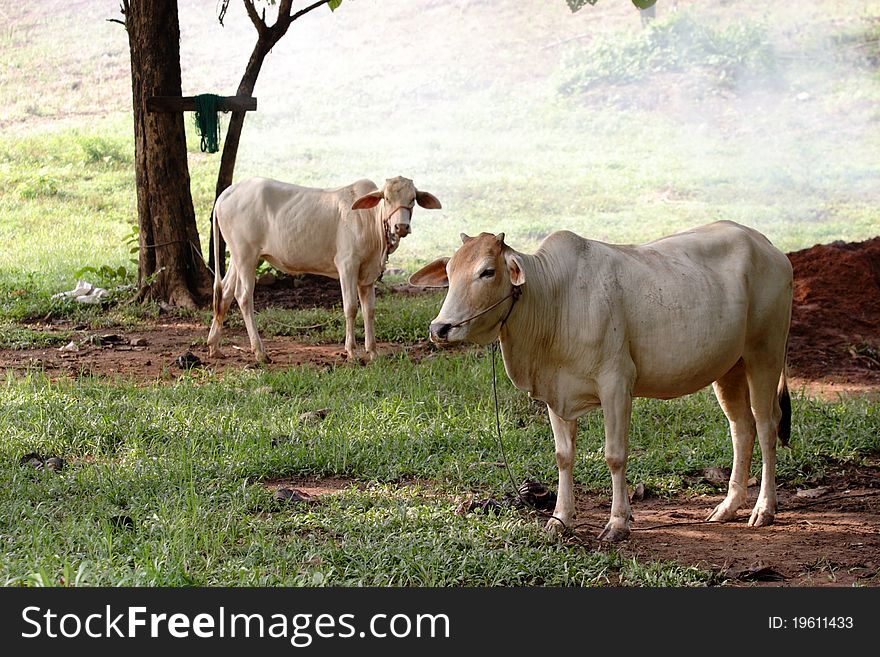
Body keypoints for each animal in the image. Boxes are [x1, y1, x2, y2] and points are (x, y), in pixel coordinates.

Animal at [410, 223, 796, 540]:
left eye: (487, 272)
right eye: (449, 272)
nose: (440, 328)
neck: (553, 298)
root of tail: (767, 246)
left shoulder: (616, 384)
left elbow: (615, 455)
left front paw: (618, 522)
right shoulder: (556, 394)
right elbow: (563, 456)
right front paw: (560, 519)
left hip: (765, 353)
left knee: (766, 425)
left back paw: (764, 509)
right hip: (730, 368)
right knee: (741, 428)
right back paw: (728, 507)